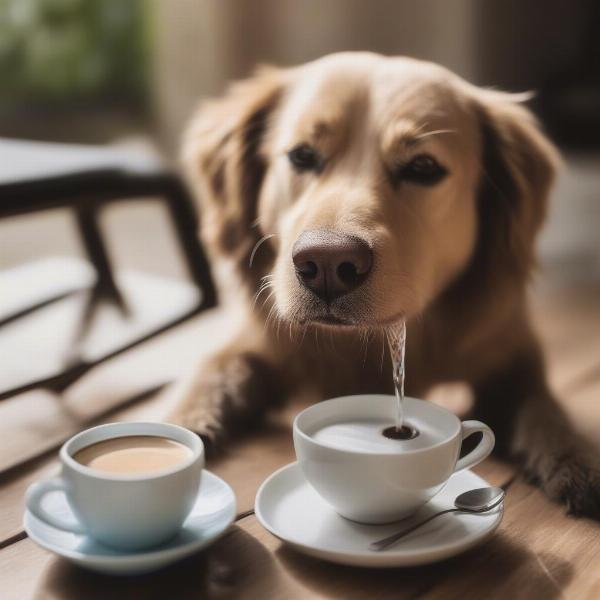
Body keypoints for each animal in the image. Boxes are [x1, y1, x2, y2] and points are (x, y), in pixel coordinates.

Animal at [173, 54, 600, 516]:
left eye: (423, 167)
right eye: (302, 155)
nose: (326, 263)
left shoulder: (511, 353)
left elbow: (543, 408)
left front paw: (576, 459)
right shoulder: (255, 341)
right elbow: (208, 378)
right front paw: (178, 431)